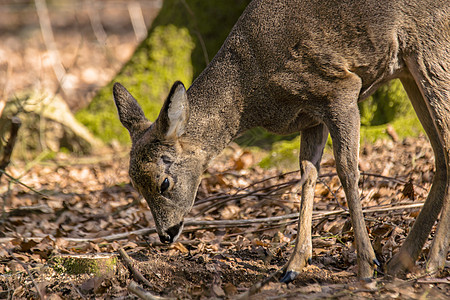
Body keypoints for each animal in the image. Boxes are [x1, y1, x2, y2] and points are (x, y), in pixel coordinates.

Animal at [113, 0, 450, 282]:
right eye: (135, 185)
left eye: (164, 182)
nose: (165, 235)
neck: (252, 90)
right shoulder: (311, 115)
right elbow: (308, 174)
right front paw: (294, 264)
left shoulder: (340, 87)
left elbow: (346, 170)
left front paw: (367, 266)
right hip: (408, 71)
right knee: (441, 157)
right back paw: (403, 262)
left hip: (432, 50)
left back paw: (429, 263)